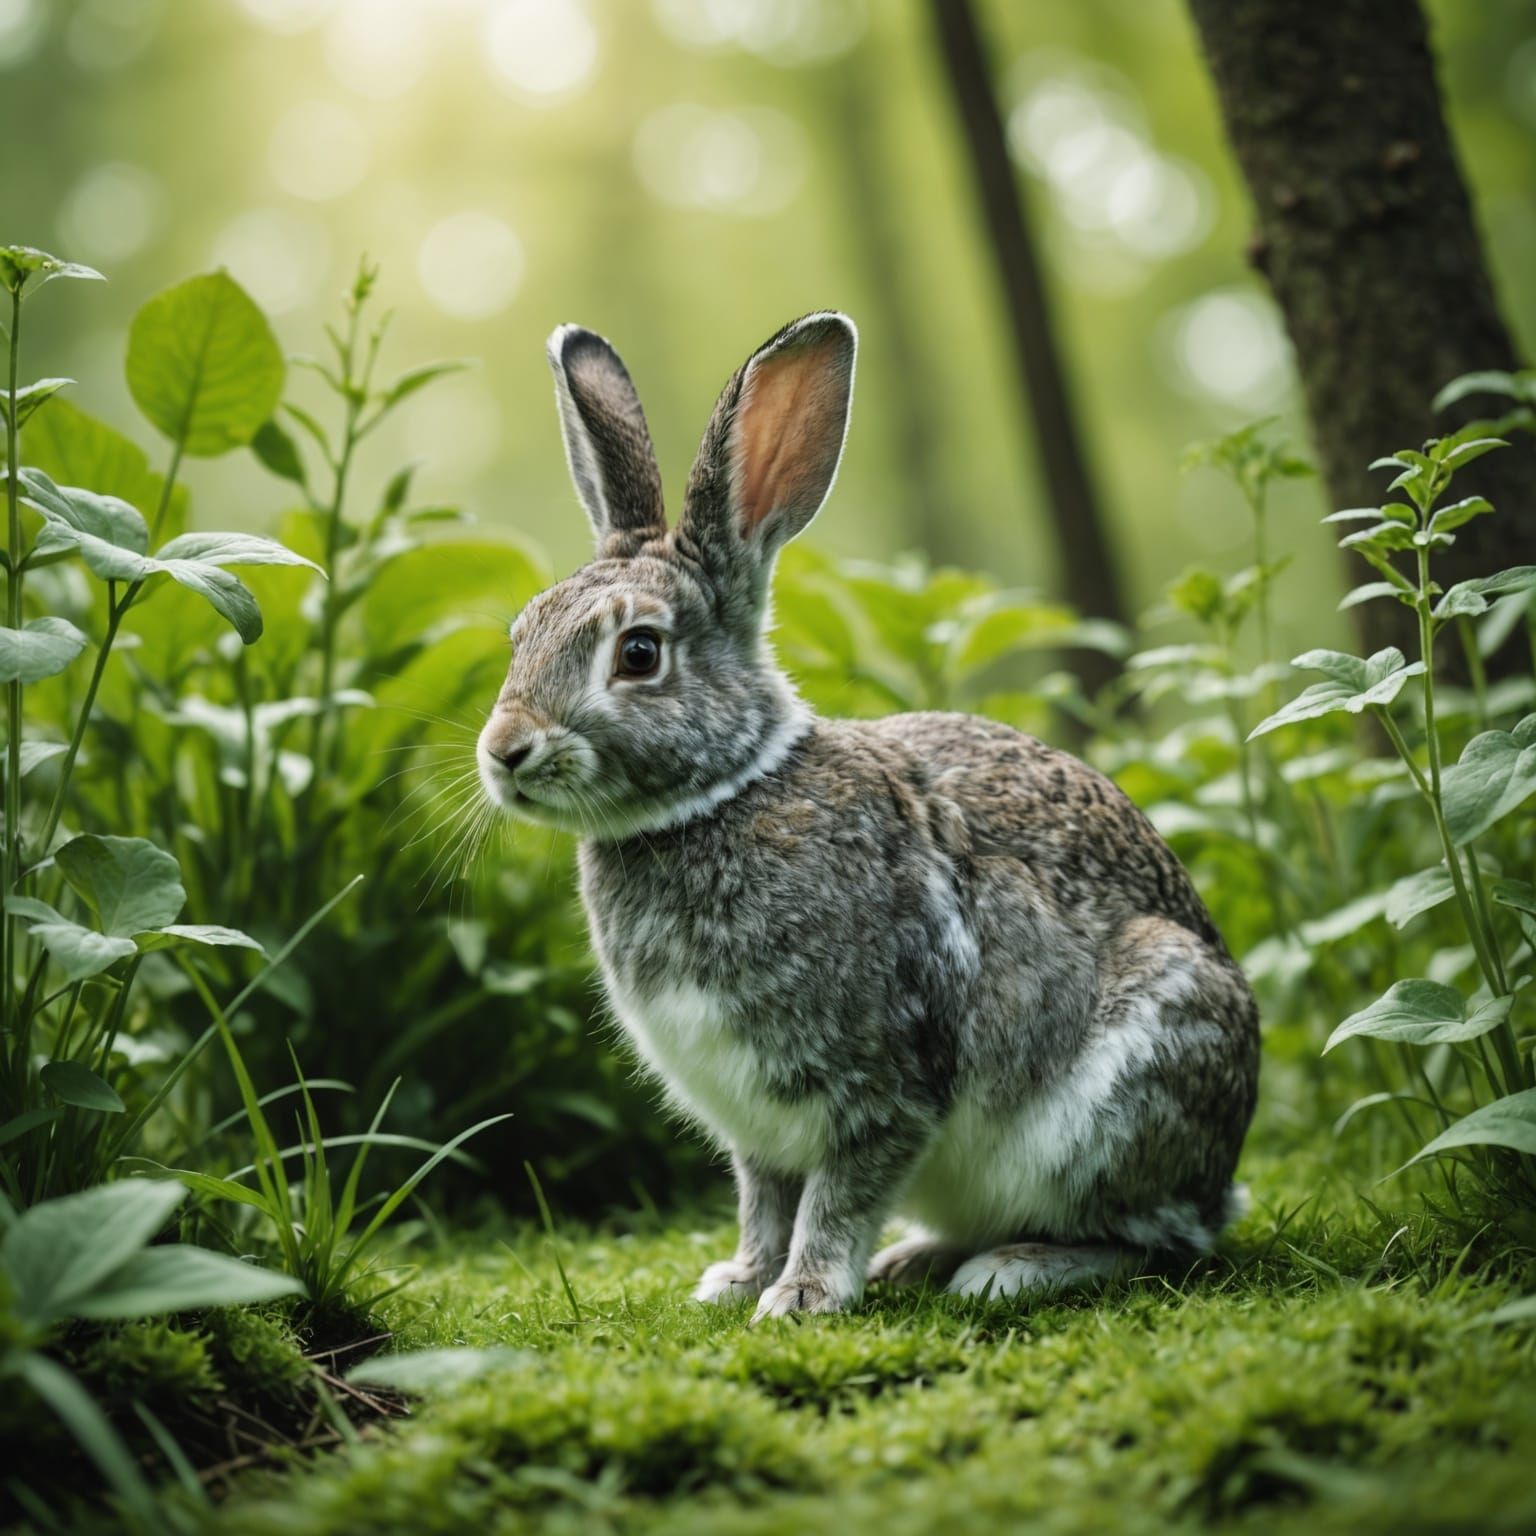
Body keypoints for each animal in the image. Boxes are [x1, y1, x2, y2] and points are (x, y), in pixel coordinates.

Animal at [476, 312, 1260, 1321]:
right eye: (521, 633)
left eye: (639, 653)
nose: (505, 751)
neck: (724, 793)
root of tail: (1223, 1173)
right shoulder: (755, 1122)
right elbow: (765, 1199)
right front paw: (737, 1281)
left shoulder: (882, 1078)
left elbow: (838, 1196)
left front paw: (802, 1296)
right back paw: (917, 1259)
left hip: (1121, 1097)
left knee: (1156, 1241)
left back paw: (1010, 1270)